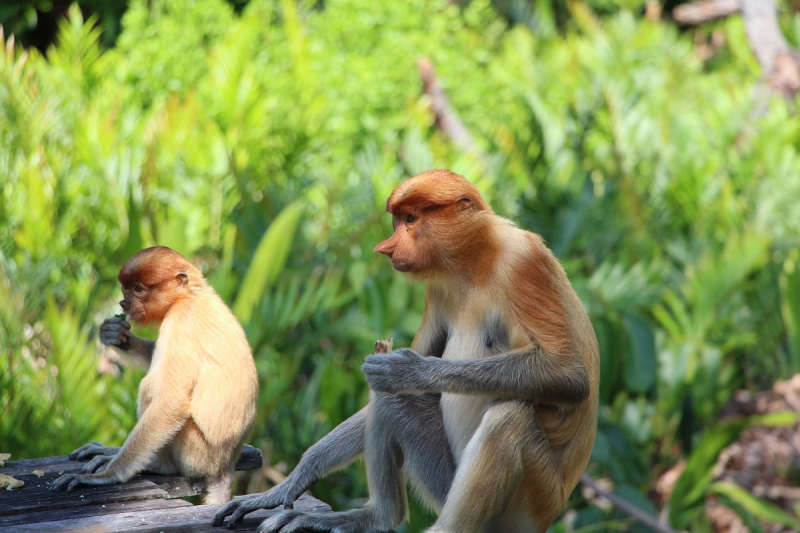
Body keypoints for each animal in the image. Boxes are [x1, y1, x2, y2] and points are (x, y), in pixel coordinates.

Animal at [50, 245, 256, 502]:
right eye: (126, 288)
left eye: (138, 289)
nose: (123, 303)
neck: (188, 295)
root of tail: (225, 466)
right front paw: (115, 335)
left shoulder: (182, 322)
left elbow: (171, 401)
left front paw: (106, 476)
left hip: (196, 455)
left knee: (150, 386)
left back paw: (157, 464)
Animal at [214, 171, 600, 532]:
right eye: (397, 220)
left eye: (411, 219)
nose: (386, 248)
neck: (475, 260)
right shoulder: (439, 289)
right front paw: (286, 485)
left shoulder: (523, 262)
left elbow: (567, 374)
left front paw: (404, 370)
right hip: (448, 483)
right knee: (392, 404)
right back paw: (377, 516)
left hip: (527, 503)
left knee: (508, 417)